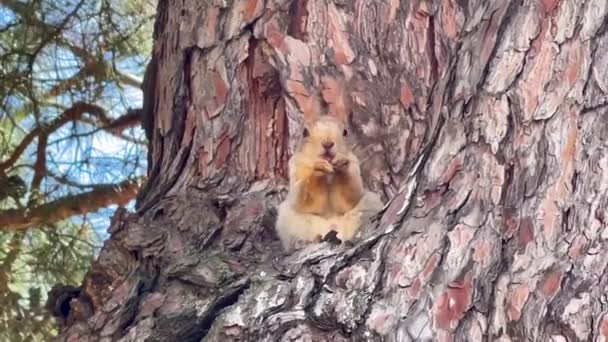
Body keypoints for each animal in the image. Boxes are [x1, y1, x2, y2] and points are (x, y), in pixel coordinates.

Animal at [276, 80, 384, 251]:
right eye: (304, 132)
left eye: (345, 131)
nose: (328, 143)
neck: (328, 176)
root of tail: (333, 229)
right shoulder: (296, 168)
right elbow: (304, 199)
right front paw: (318, 168)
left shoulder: (355, 166)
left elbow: (349, 196)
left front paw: (342, 165)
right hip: (290, 221)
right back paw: (305, 242)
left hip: (369, 206)